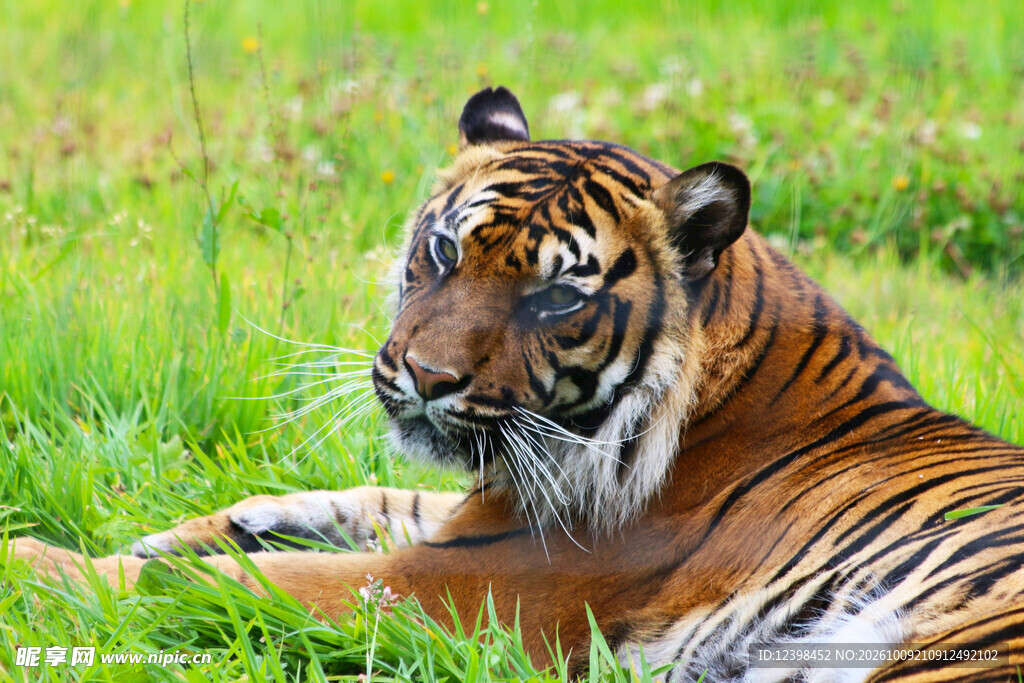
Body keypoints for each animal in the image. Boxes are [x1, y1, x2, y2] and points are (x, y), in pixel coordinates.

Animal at [13, 86, 1024, 682]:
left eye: (556, 295)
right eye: (443, 249)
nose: (425, 376)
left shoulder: (464, 584)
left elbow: (241, 579)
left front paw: (36, 564)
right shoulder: (469, 515)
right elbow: (333, 500)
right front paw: (177, 531)